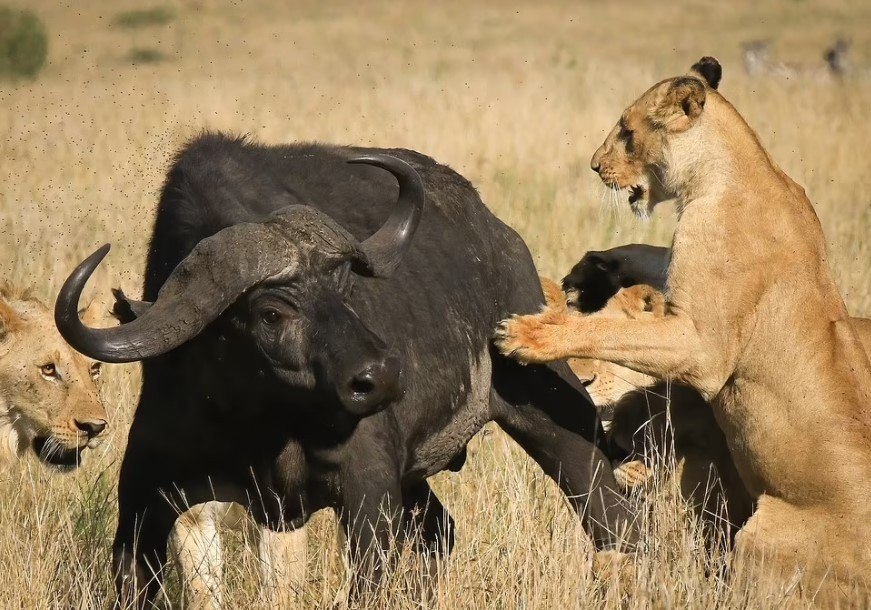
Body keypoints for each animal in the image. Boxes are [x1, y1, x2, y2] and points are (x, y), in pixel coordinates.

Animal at [58, 133, 636, 604]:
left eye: (343, 287)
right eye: (271, 313)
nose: (382, 377)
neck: (260, 421)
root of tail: (502, 239)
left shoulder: (368, 495)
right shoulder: (144, 503)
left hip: (555, 418)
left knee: (615, 520)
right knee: (442, 534)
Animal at [500, 59, 871, 600]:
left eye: (627, 132)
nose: (594, 165)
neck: (741, 170)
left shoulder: (702, 346)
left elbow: (611, 333)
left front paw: (530, 336)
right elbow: (652, 259)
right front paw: (593, 268)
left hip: (761, 535)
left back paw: (622, 565)